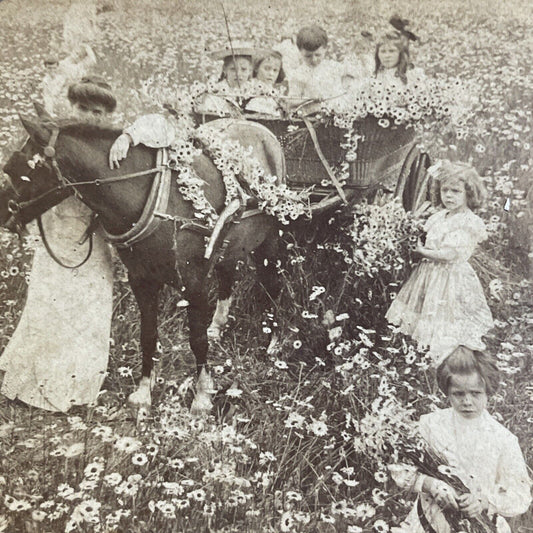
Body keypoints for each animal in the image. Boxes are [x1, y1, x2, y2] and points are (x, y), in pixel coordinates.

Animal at [2, 114, 284, 410]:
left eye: (17, 170)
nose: (3, 216)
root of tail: (259, 128)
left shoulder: (193, 284)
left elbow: (196, 340)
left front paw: (202, 395)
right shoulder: (141, 279)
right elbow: (148, 336)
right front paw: (143, 392)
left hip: (269, 242)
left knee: (273, 285)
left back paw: (274, 344)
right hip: (229, 246)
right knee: (228, 277)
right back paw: (217, 326)